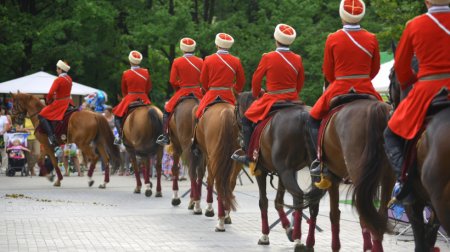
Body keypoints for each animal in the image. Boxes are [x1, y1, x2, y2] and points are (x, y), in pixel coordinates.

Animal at [188, 101, 243, 231]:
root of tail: (227, 114)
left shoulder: (207, 155)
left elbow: (207, 178)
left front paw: (206, 207)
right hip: (236, 158)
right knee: (230, 182)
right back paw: (226, 214)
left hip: (214, 156)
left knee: (217, 182)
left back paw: (220, 221)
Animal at [234, 92, 326, 250]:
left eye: (235, 110)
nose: (240, 141)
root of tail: (303, 116)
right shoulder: (282, 173)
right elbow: (278, 202)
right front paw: (288, 229)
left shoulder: (261, 171)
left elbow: (263, 202)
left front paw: (265, 235)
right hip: (309, 169)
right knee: (313, 202)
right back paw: (309, 242)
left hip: (286, 172)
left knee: (298, 197)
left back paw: (298, 239)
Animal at [316, 93, 394, 251]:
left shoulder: (331, 178)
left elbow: (334, 214)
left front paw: (335, 246)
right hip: (388, 176)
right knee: (379, 217)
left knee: (367, 218)